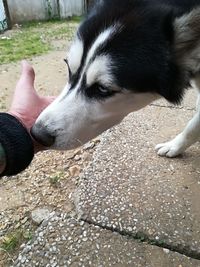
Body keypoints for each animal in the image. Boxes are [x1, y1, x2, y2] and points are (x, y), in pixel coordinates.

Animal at [30, 0, 200, 158]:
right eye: (69, 68)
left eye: (103, 89)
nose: (38, 134)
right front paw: (175, 146)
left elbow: (193, 126)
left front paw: (175, 146)